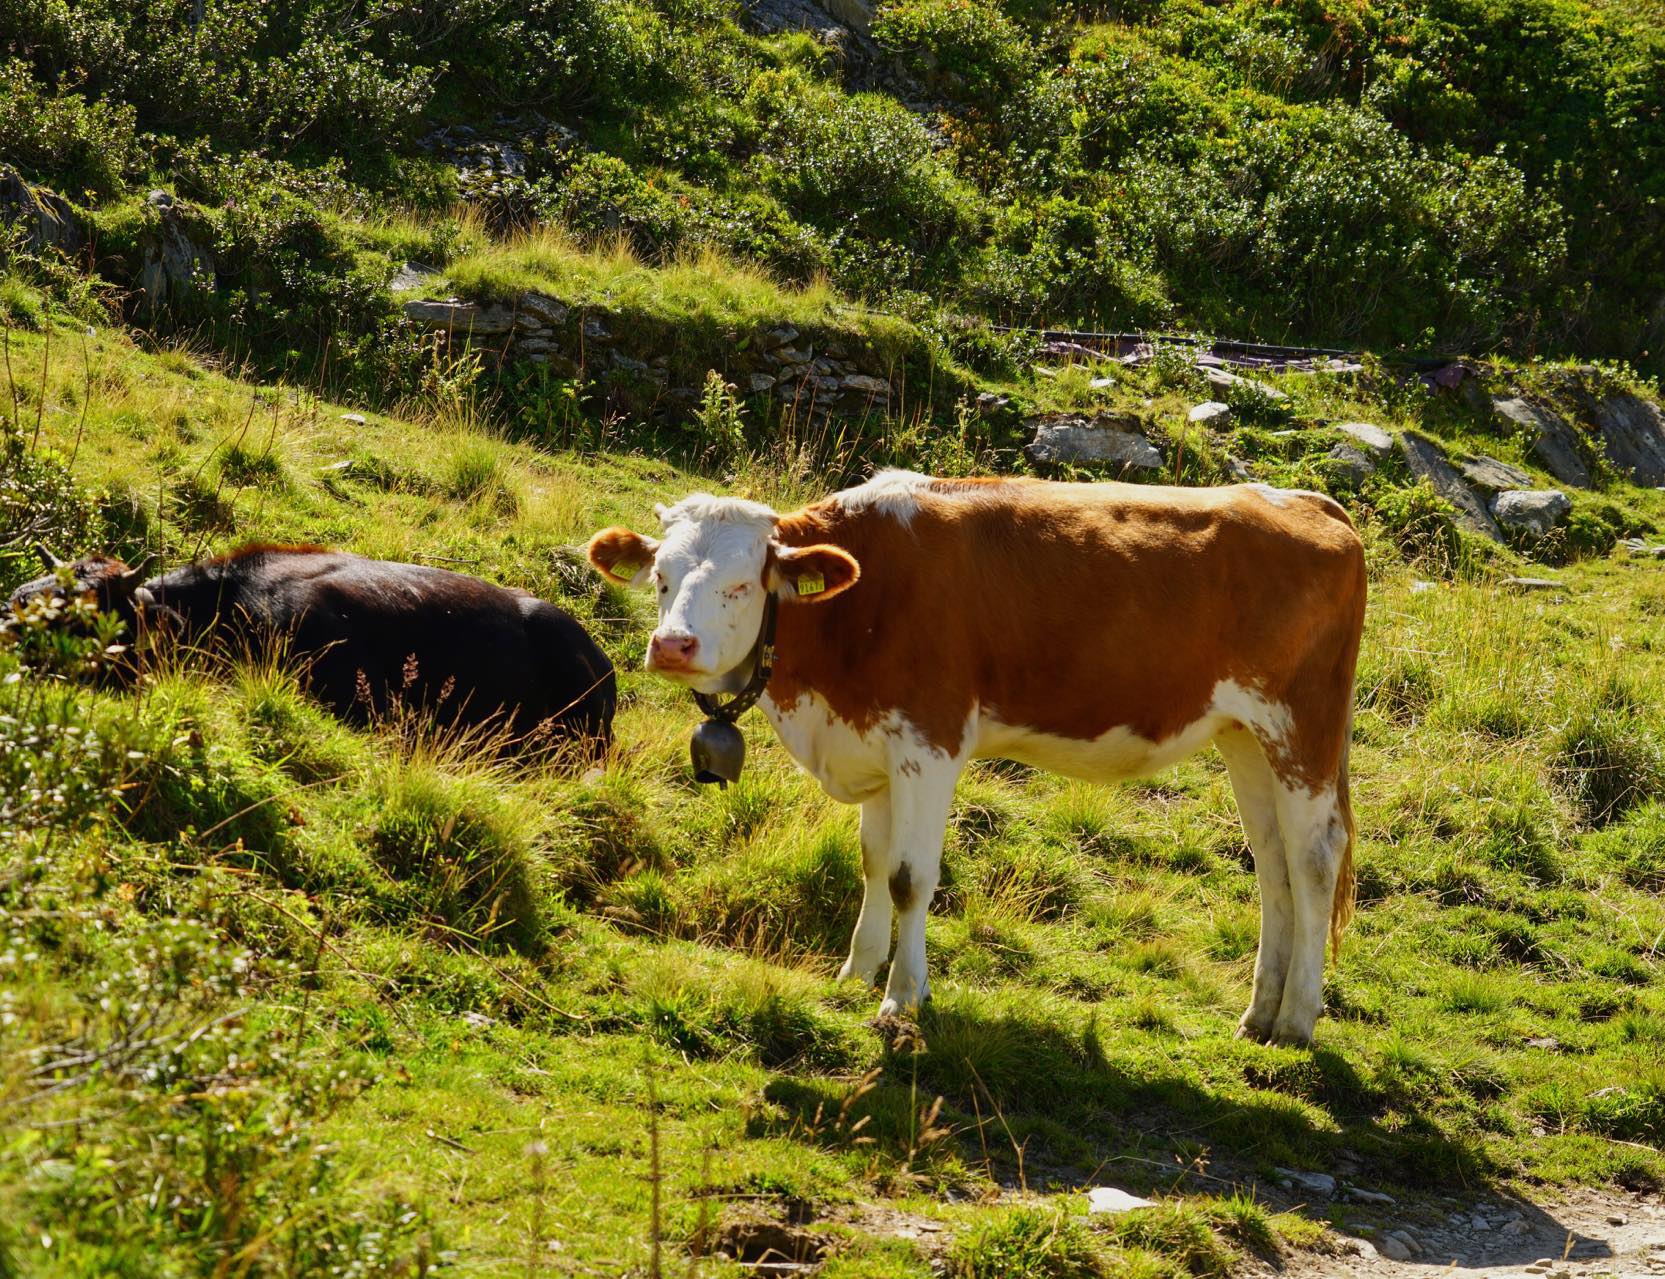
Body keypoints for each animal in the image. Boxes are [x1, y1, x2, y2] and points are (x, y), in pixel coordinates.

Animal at [592, 472, 1371, 1045]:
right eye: (660, 577)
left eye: (741, 584)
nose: (672, 646)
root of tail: (1302, 499)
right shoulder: (875, 740)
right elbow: (873, 861)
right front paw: (857, 971)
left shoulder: (928, 741)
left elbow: (910, 877)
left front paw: (902, 998)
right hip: (1244, 735)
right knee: (1271, 863)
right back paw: (1258, 1013)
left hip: (1300, 726)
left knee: (1313, 860)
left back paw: (1295, 1020)